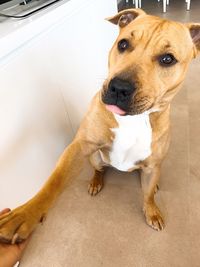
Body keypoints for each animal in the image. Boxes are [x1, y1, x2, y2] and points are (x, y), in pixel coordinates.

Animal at [0, 7, 200, 245]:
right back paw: (96, 181)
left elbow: (148, 195)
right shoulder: (80, 147)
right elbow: (54, 182)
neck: (134, 120)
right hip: (94, 157)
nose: (119, 87)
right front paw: (25, 213)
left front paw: (151, 210)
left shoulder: (152, 165)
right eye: (123, 44)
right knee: (99, 168)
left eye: (167, 59)